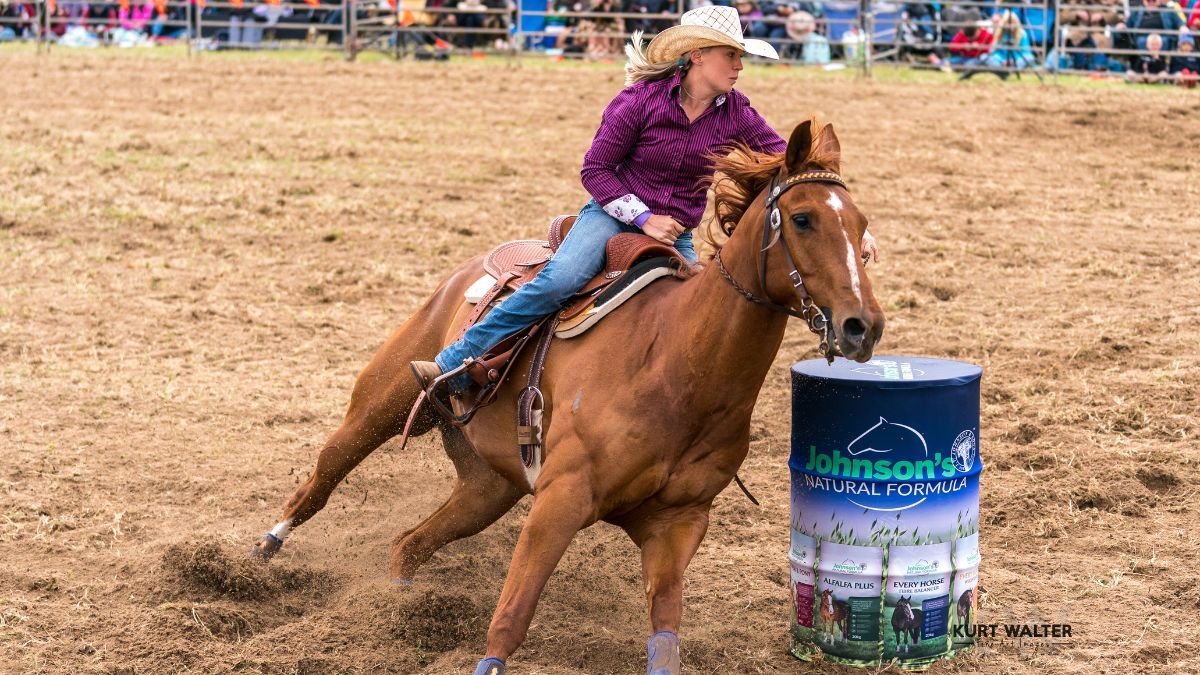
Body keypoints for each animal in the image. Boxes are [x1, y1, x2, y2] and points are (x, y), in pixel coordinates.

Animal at [248, 120, 883, 672]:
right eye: (802, 218)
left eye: (861, 227)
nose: (863, 326)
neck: (676, 365)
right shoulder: (562, 497)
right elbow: (512, 613)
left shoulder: (677, 524)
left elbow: (665, 634)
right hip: (383, 401)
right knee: (324, 475)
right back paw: (263, 552)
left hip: (490, 487)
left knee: (410, 544)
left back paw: (396, 607)